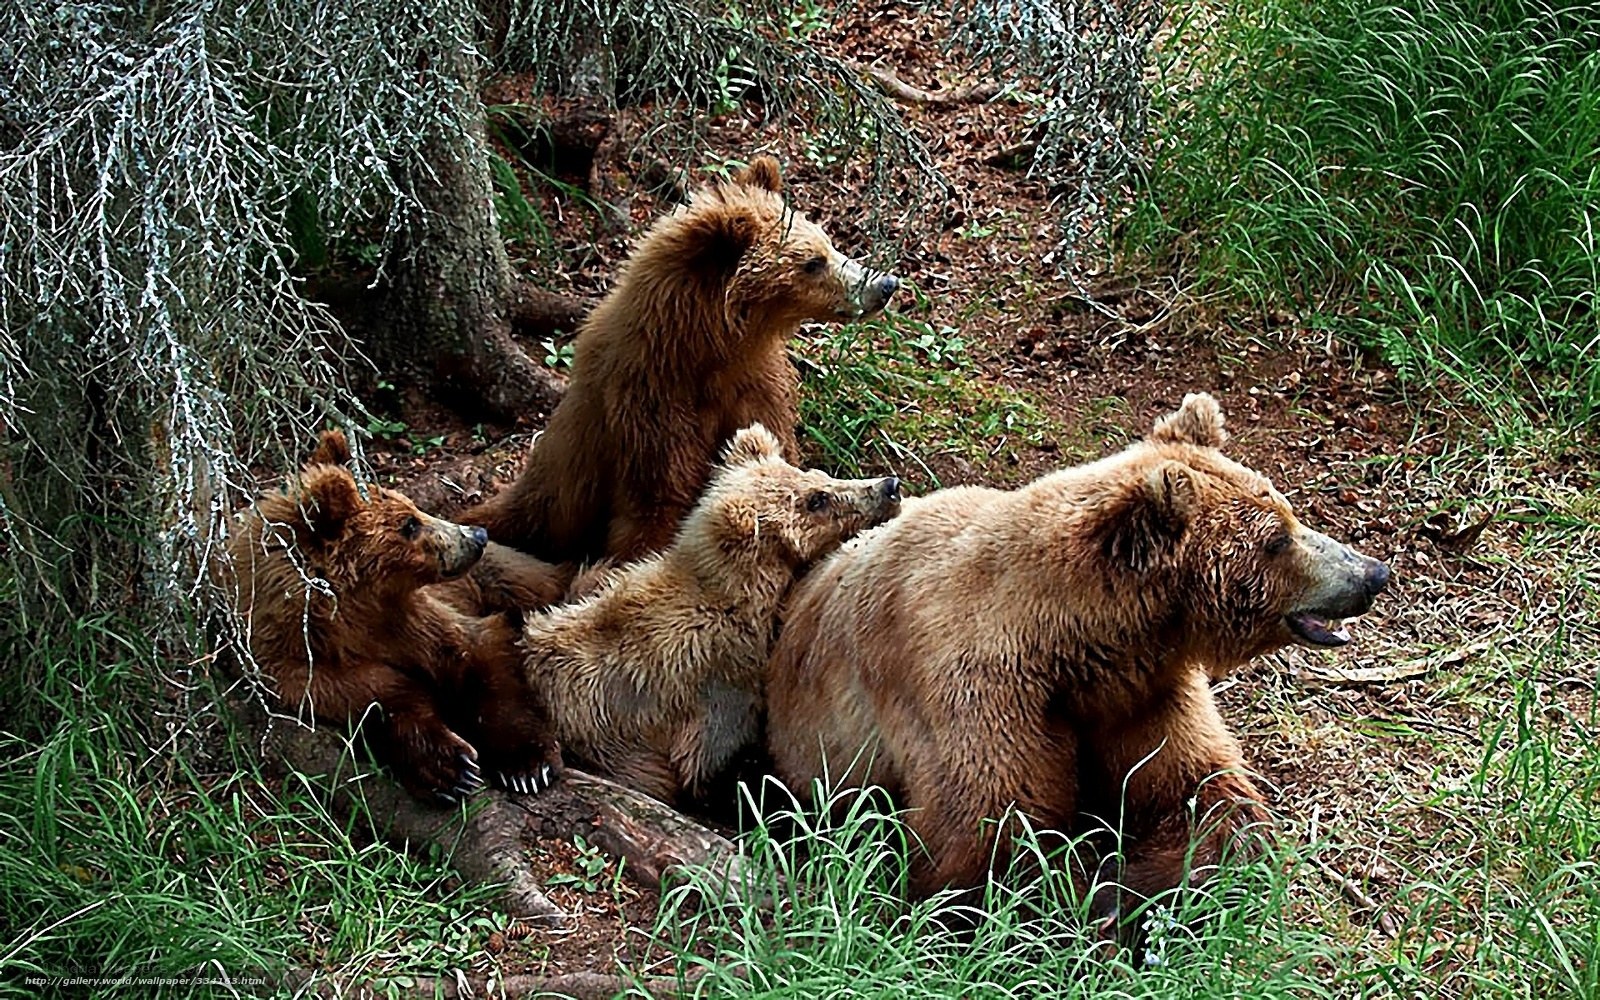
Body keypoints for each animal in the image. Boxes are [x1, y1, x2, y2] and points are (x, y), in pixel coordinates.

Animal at [225, 435, 562, 803]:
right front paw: (450, 770)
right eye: (409, 524)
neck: (350, 617)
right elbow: (374, 697)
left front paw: (527, 766)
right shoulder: (296, 665)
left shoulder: (414, 619)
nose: (476, 536)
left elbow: (480, 653)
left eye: (412, 507)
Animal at [461, 155, 900, 565]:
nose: (885, 284)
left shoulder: (754, 387)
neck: (709, 352)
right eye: (812, 262)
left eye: (827, 243)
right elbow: (661, 500)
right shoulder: (652, 405)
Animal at [764, 393, 1390, 927]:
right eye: (1277, 539)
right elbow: (990, 838)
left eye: (1287, 512)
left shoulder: (1139, 688)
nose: (1372, 573)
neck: (1072, 642)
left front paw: (1131, 886)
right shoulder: (974, 686)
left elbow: (1200, 792)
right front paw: (1082, 896)